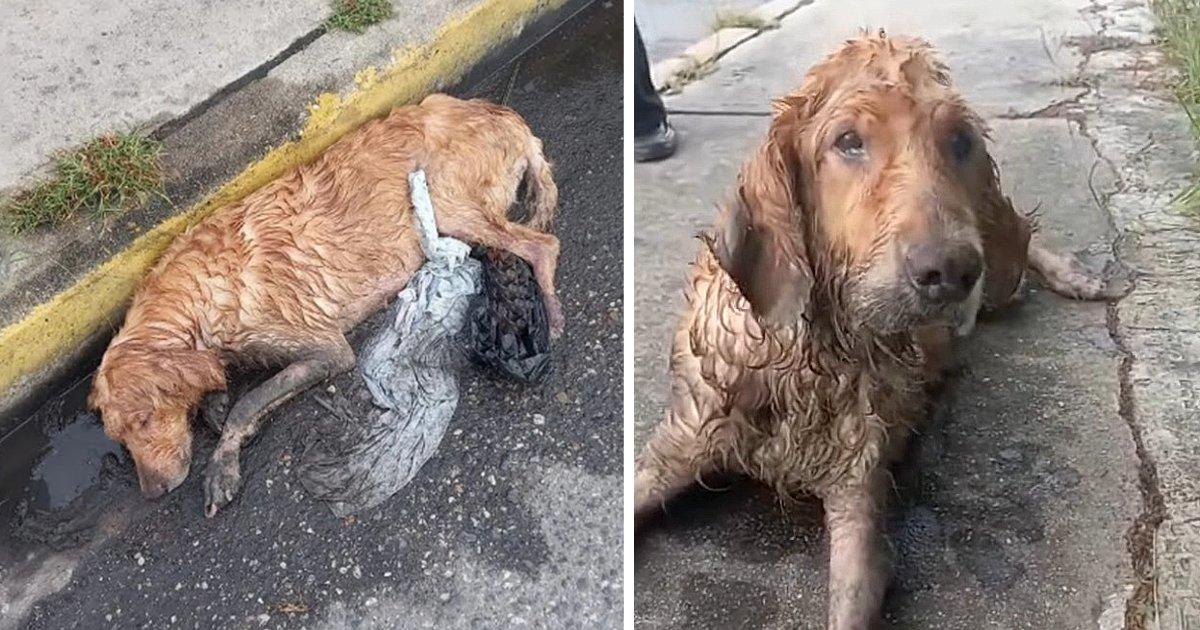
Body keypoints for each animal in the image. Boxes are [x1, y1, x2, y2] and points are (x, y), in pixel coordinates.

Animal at [633, 33, 1118, 628]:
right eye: (848, 141)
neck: (810, 357)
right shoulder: (677, 445)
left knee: (1024, 239)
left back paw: (1076, 275)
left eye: (960, 140)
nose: (951, 272)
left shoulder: (859, 500)